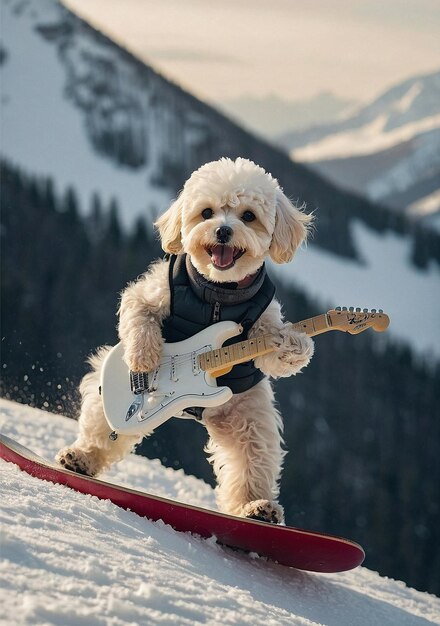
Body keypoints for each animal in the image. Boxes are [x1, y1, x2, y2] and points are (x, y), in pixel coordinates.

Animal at [56, 156, 314, 520]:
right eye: (206, 212)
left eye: (248, 215)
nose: (223, 230)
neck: (218, 292)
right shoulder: (149, 294)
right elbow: (138, 315)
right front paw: (145, 358)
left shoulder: (264, 322)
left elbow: (273, 354)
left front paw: (295, 344)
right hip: (103, 396)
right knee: (101, 430)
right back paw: (80, 458)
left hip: (249, 417)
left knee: (251, 463)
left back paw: (257, 507)